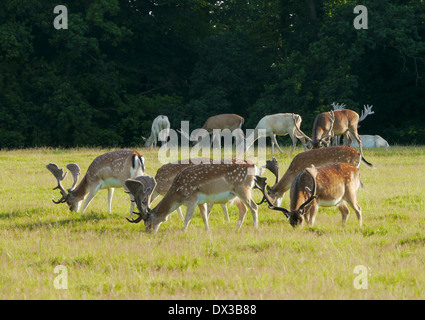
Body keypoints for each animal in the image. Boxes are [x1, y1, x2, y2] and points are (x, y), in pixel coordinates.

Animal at [125, 159, 258, 232]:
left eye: (148, 223)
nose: (149, 232)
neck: (178, 192)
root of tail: (253, 165)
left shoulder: (192, 197)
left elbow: (188, 217)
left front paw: (183, 231)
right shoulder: (200, 201)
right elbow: (204, 216)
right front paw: (207, 230)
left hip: (243, 189)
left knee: (254, 206)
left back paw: (254, 228)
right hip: (236, 195)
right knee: (243, 209)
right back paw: (236, 229)